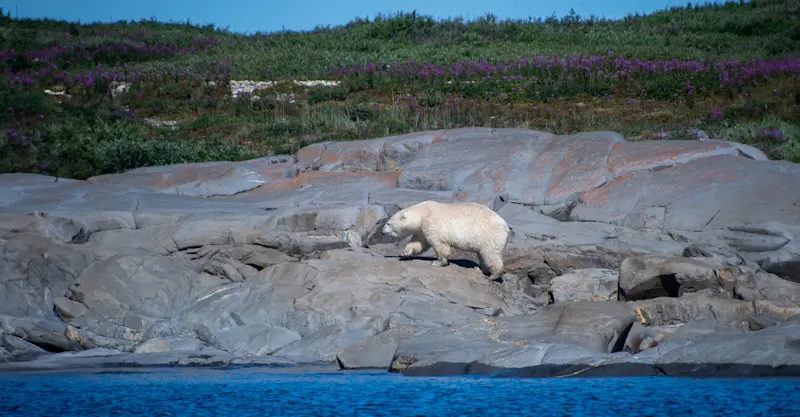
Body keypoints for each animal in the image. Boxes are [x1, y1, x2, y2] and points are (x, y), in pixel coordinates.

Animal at [381, 200, 511, 278]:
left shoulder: (432, 223)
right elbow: (418, 242)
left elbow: (439, 244)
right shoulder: (421, 229)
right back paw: (479, 269)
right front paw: (404, 253)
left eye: (388, 223)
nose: (381, 232)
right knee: (483, 255)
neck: (423, 212)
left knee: (490, 253)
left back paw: (494, 274)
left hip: (489, 235)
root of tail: (505, 226)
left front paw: (437, 262)